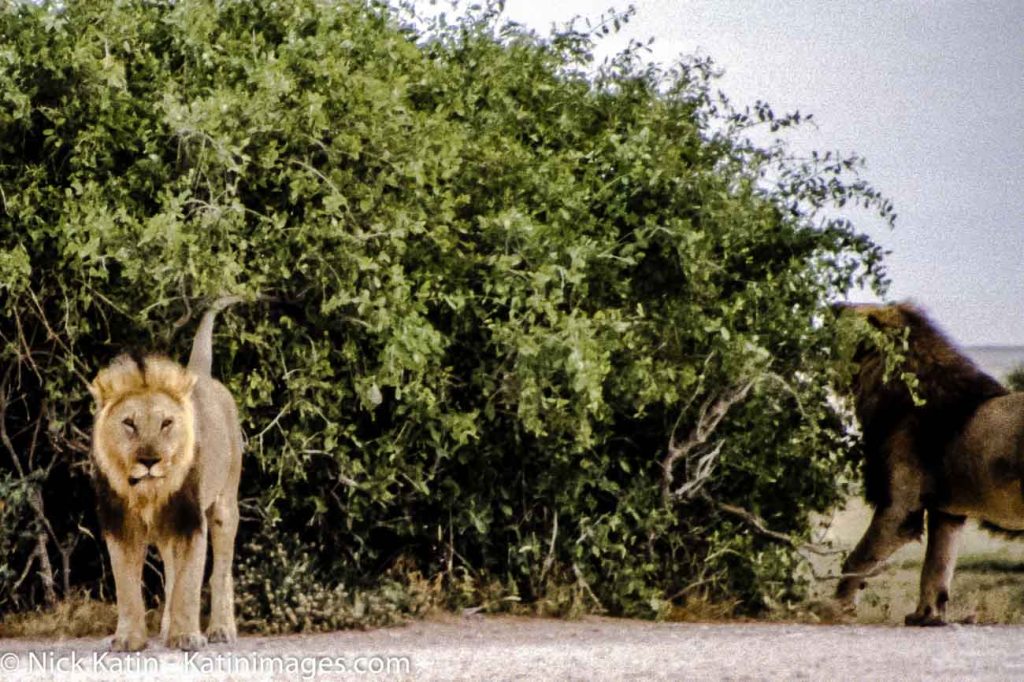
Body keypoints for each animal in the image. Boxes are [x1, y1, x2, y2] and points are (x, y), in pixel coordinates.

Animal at [89, 297, 244, 651]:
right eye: (129, 423)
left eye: (166, 423)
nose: (149, 460)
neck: (147, 493)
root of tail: (201, 373)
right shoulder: (120, 524)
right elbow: (127, 587)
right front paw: (128, 639)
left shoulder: (190, 521)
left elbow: (190, 584)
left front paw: (187, 636)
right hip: (163, 529)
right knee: (172, 573)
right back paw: (167, 628)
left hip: (225, 505)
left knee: (221, 571)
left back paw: (220, 629)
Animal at [834, 301, 1023, 625]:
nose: (833, 306)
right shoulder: (946, 511)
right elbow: (936, 567)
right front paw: (925, 617)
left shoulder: (901, 507)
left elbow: (859, 558)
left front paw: (833, 608)